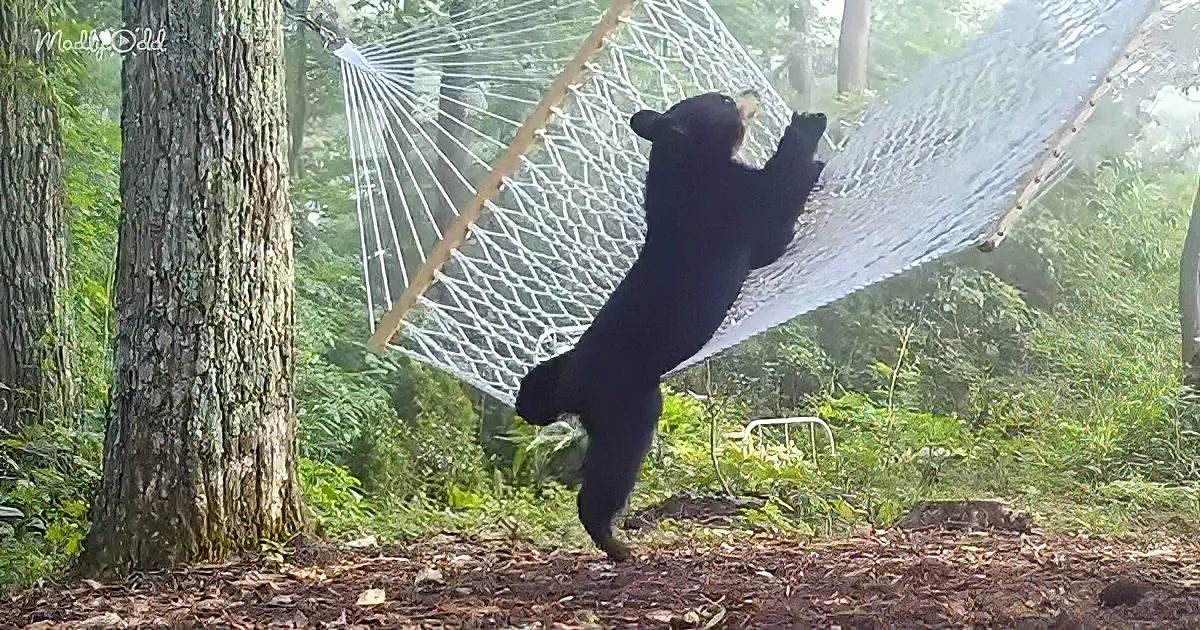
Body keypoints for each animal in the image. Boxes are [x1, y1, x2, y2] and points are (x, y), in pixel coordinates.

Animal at [514, 90, 827, 561]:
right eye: (724, 100)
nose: (749, 94)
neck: (685, 169)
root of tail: (569, 384)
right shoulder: (733, 207)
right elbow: (776, 205)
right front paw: (809, 128)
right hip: (630, 405)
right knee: (612, 471)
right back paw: (615, 542)